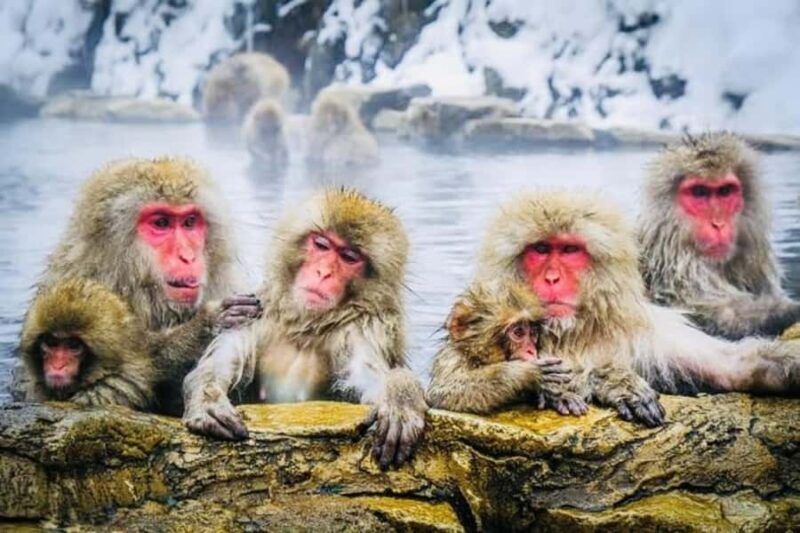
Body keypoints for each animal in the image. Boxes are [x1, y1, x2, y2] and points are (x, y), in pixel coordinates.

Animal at [183, 188, 427, 469]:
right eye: (321, 245)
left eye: (349, 257)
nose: (323, 273)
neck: (305, 327)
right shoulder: (257, 310)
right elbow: (221, 362)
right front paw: (207, 399)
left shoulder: (361, 330)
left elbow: (367, 376)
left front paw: (400, 397)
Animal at [427, 281, 588, 416]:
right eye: (518, 332)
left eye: (533, 333)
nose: (531, 350)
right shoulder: (452, 358)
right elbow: (442, 393)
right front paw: (527, 373)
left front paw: (558, 395)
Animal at [474, 190, 800, 427]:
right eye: (541, 249)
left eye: (569, 250)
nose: (551, 278)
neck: (573, 333)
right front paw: (609, 382)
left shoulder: (654, 333)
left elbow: (733, 367)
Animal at [638, 132, 800, 339]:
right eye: (699, 192)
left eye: (725, 191)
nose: (718, 224)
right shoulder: (676, 273)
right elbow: (713, 315)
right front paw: (789, 312)